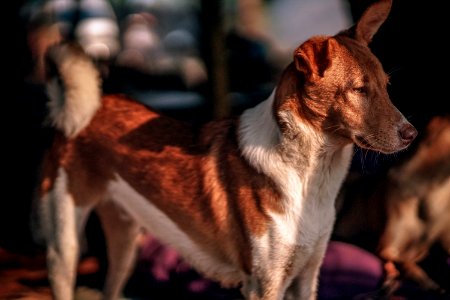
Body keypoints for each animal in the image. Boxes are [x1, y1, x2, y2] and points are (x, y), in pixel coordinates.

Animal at [33, 1, 416, 298]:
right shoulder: (264, 286)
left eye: (386, 86)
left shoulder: (307, 278)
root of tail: (90, 107)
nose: (411, 134)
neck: (310, 177)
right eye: (359, 90)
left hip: (126, 244)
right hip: (64, 247)